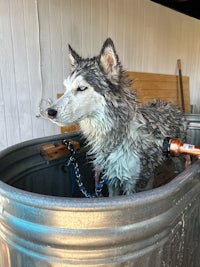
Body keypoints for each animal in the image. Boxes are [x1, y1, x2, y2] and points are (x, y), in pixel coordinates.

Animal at [46, 37, 186, 197]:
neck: (115, 138)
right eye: (66, 89)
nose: (49, 112)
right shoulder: (110, 178)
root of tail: (171, 105)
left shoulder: (130, 184)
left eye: (81, 88)